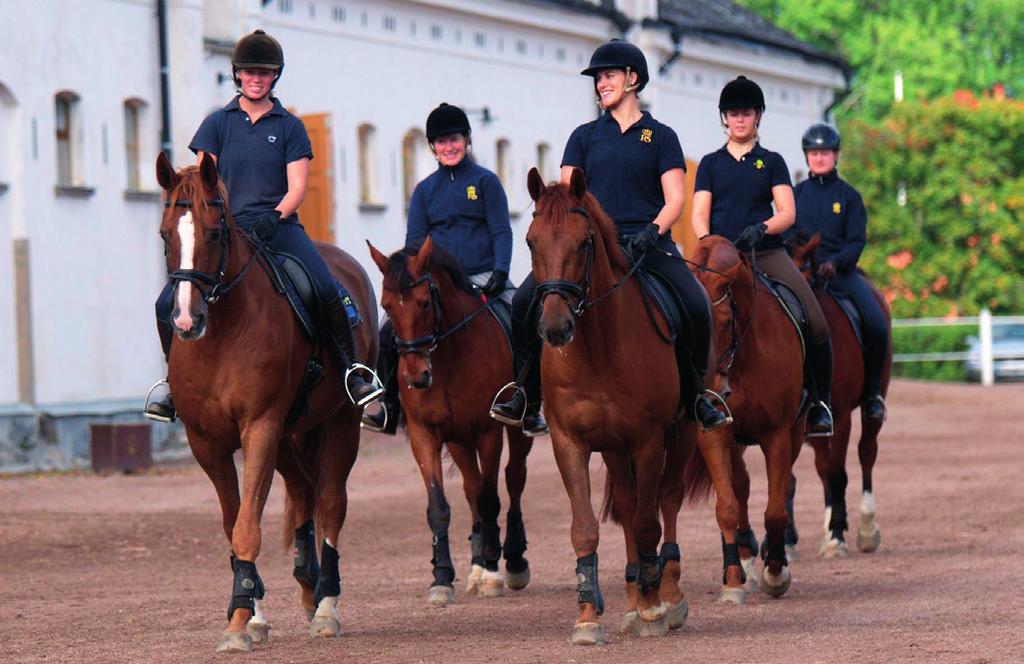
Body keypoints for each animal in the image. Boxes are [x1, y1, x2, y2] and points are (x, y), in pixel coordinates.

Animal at [153, 151, 374, 651]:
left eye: (215, 232)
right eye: (164, 234)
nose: (186, 319)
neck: (222, 334)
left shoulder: (260, 428)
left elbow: (247, 526)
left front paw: (239, 622)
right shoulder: (207, 442)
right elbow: (233, 522)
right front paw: (247, 611)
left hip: (338, 423)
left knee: (330, 501)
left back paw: (326, 605)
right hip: (291, 436)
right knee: (303, 493)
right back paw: (307, 587)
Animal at [364, 239, 532, 606]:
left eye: (425, 303)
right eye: (386, 305)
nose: (416, 377)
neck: (450, 358)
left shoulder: (488, 432)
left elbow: (490, 499)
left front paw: (493, 572)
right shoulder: (424, 435)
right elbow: (439, 507)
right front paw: (442, 578)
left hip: (513, 429)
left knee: (514, 479)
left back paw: (512, 560)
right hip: (458, 440)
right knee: (472, 487)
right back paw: (477, 564)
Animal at [524, 169, 733, 647]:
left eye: (584, 243)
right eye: (530, 241)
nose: (555, 328)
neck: (597, 349)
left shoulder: (648, 441)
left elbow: (648, 522)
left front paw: (654, 609)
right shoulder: (570, 442)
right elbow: (586, 527)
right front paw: (587, 617)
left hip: (683, 430)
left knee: (666, 500)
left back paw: (666, 594)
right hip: (614, 448)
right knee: (626, 503)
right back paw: (636, 593)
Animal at [692, 233, 811, 602]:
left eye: (725, 322)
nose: (708, 395)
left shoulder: (779, 434)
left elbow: (775, 508)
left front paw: (776, 571)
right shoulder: (715, 435)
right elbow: (727, 505)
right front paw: (732, 581)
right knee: (740, 487)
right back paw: (743, 557)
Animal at [786, 230, 892, 557]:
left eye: (807, 272)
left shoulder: (842, 415)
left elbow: (838, 473)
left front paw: (836, 535)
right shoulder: (806, 421)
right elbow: (808, 473)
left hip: (871, 405)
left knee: (866, 452)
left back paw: (866, 528)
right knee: (823, 468)